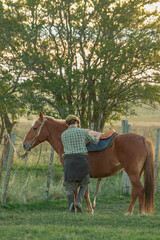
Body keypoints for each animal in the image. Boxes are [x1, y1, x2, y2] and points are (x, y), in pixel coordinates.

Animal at [23, 111, 154, 215]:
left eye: (35, 128)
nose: (25, 145)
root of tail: (143, 139)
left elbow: (78, 191)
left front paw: (80, 208)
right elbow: (85, 191)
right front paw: (88, 209)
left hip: (132, 173)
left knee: (140, 190)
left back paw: (137, 212)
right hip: (137, 173)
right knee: (135, 191)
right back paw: (130, 211)